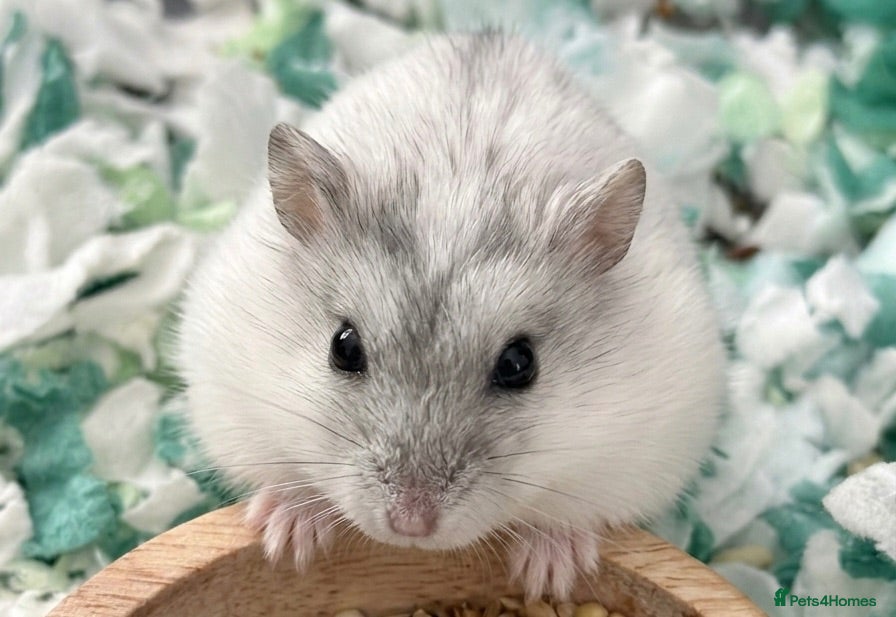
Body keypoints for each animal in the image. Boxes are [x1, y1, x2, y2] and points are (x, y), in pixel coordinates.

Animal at [177, 32, 726, 600]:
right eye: (343, 346)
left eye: (519, 364)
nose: (411, 524)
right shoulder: (233, 404)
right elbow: (287, 477)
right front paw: (286, 539)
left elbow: (565, 515)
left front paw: (548, 574)